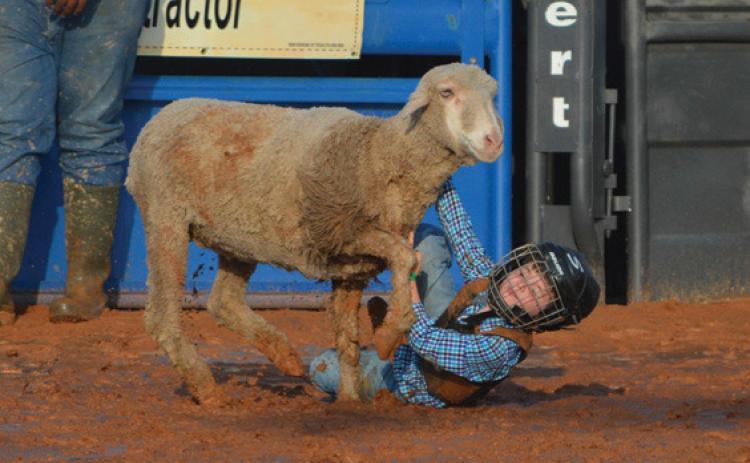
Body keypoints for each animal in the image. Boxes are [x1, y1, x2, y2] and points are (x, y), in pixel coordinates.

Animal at [125, 63, 504, 403]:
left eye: (493, 94)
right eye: (447, 92)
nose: (494, 140)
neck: (376, 156)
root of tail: (161, 116)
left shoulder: (353, 267)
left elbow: (348, 339)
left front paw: (350, 399)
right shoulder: (339, 233)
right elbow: (405, 255)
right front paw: (392, 331)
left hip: (238, 238)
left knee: (223, 302)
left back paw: (284, 356)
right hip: (166, 217)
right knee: (161, 317)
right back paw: (206, 387)